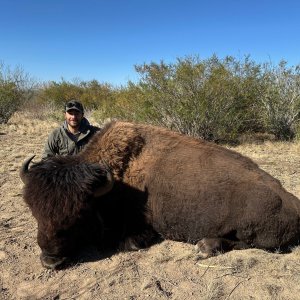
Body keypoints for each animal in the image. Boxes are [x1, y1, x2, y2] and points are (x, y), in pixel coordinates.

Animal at [19, 121, 300, 270]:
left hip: (252, 230)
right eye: (34, 211)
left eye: (79, 215)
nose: (51, 260)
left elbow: (129, 242)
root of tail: (294, 204)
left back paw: (205, 246)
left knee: (247, 244)